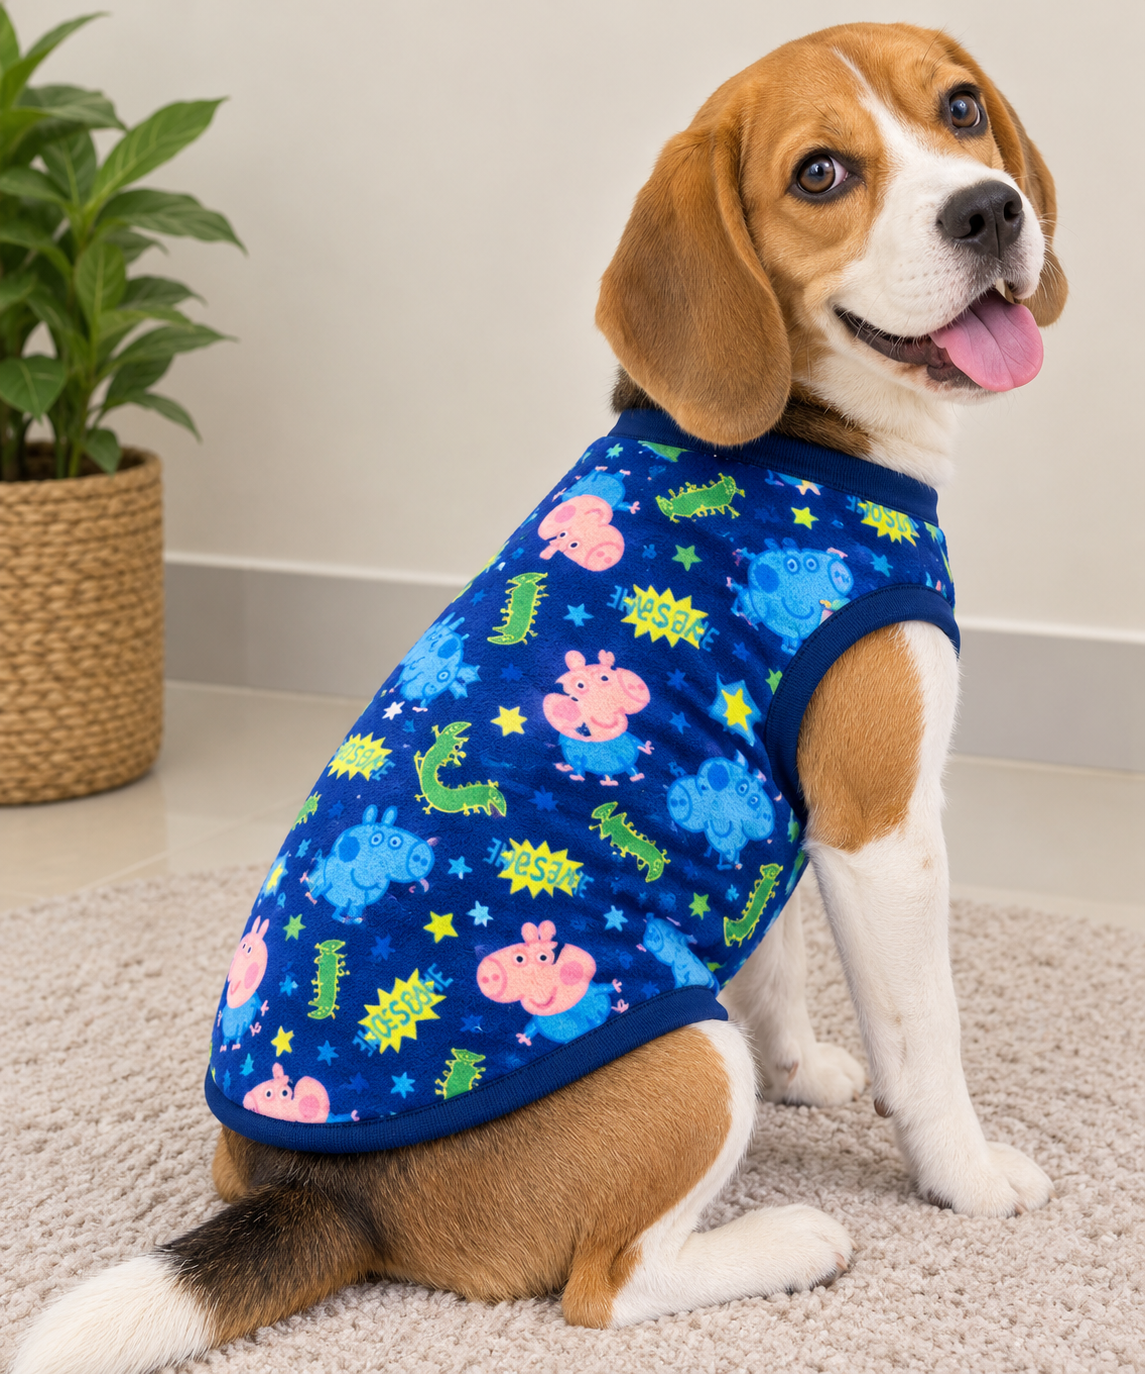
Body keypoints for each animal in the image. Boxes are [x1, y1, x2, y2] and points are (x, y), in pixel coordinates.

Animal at [476, 920, 620, 1046]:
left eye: (519, 958)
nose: (487, 975)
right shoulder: (539, 1018)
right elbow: (533, 1026)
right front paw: (523, 1038)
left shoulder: (591, 992)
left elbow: (602, 989)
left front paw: (616, 985)